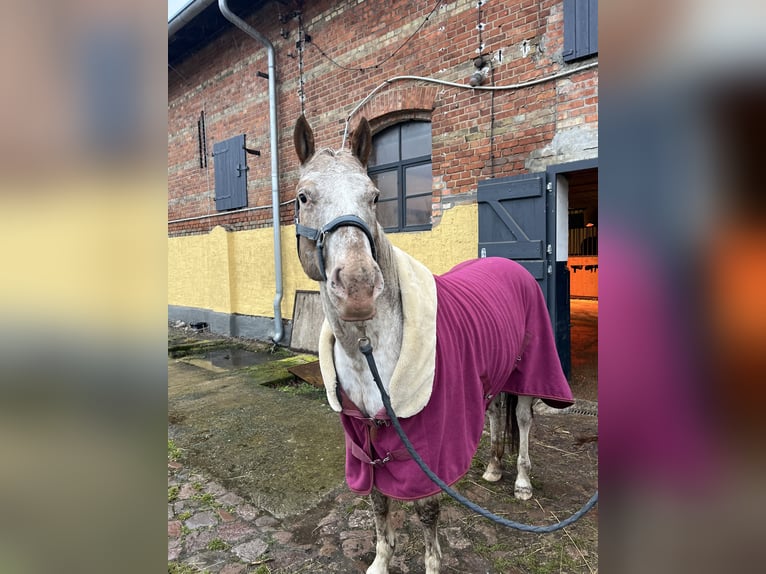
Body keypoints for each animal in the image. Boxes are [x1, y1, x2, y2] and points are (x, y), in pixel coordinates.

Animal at [292, 115, 574, 574]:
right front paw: (381, 560)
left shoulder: (429, 445)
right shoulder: (364, 438)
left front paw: (430, 563)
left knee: (524, 419)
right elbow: (378, 501)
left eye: (374, 196)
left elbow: (426, 509)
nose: (358, 289)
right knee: (495, 413)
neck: (369, 350)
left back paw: (521, 482)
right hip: (492, 374)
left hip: (529, 369)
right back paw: (493, 468)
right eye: (303, 196)